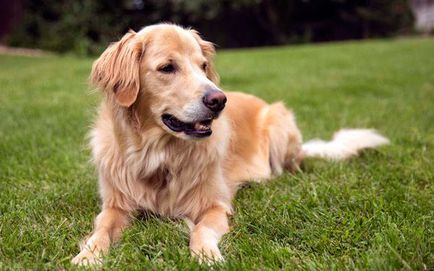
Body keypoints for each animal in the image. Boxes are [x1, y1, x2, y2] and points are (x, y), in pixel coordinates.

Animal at [71, 22, 390, 266]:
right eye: (167, 68)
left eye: (203, 66)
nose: (219, 100)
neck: (159, 154)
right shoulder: (115, 205)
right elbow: (101, 230)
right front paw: (88, 256)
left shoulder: (215, 205)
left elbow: (201, 230)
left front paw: (206, 255)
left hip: (278, 122)